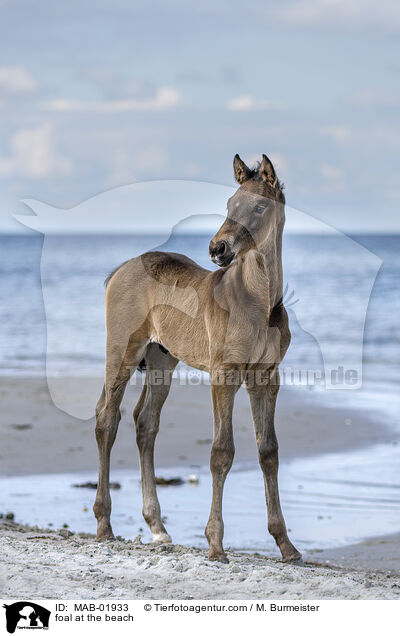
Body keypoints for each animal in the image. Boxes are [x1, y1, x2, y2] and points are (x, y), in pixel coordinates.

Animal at [94, 154, 300, 560]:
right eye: (230, 204)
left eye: (259, 206)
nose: (217, 249)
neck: (258, 302)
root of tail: (121, 269)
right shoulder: (224, 374)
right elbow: (222, 452)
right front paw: (216, 543)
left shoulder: (266, 376)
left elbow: (268, 451)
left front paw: (286, 545)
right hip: (123, 351)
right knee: (107, 418)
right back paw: (104, 524)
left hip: (161, 360)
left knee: (145, 423)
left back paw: (158, 528)